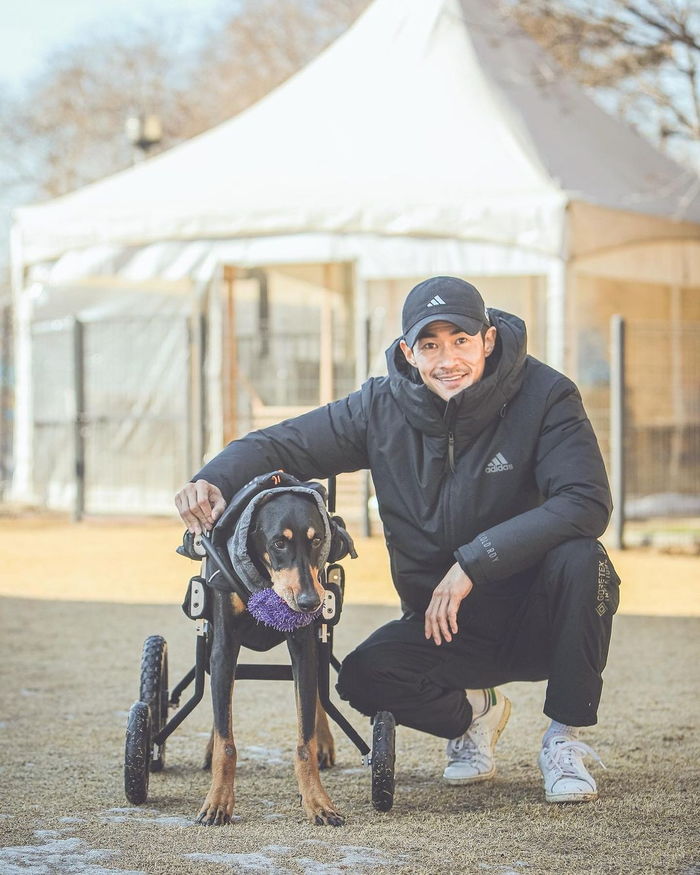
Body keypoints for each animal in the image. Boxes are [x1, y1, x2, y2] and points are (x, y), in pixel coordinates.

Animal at [196, 492, 344, 828]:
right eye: (279, 542)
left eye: (317, 540)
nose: (310, 602)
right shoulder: (224, 647)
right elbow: (226, 740)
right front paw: (218, 801)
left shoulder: (304, 645)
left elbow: (305, 738)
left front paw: (317, 801)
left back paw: (324, 740)